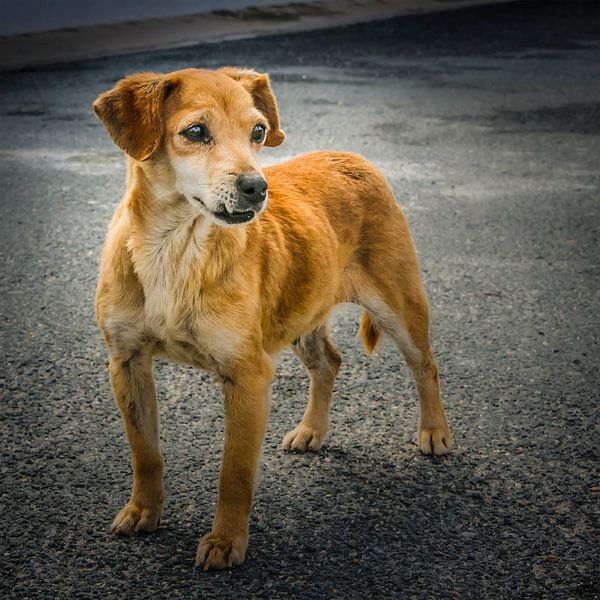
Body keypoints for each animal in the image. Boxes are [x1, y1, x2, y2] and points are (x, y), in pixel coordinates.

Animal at [92, 68, 450, 568]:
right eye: (195, 132)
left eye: (258, 132)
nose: (257, 188)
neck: (174, 250)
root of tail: (352, 156)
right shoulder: (126, 363)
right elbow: (145, 452)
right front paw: (143, 511)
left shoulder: (248, 376)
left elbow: (235, 472)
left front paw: (226, 541)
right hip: (300, 311)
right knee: (328, 363)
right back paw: (312, 430)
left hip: (400, 305)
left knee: (425, 367)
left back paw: (434, 431)